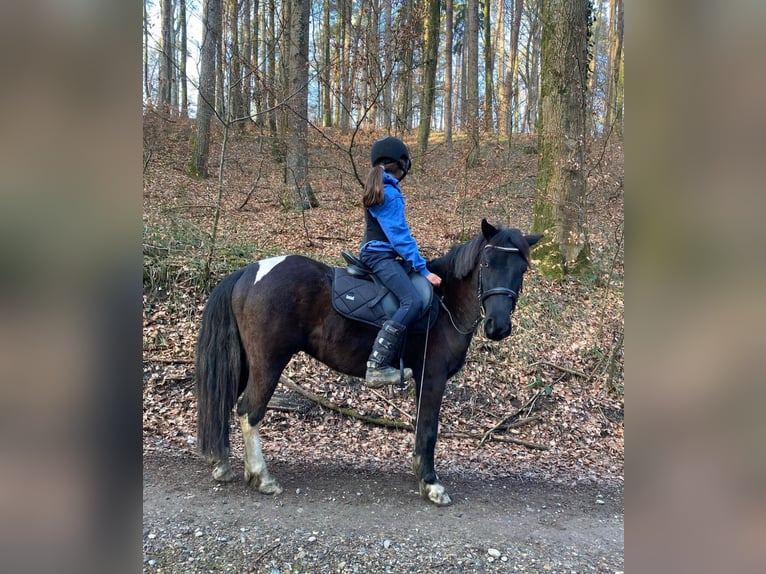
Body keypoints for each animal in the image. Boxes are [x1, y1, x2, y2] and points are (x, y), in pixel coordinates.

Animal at [195, 219, 542, 506]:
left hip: (245, 362)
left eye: (521, 270)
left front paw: (420, 475)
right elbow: (429, 428)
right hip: (268, 364)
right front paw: (431, 485)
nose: (498, 327)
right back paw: (261, 477)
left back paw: (222, 464)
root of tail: (249, 271)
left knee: (224, 402)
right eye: (487, 262)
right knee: (249, 412)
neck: (446, 303)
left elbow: (420, 426)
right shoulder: (433, 376)